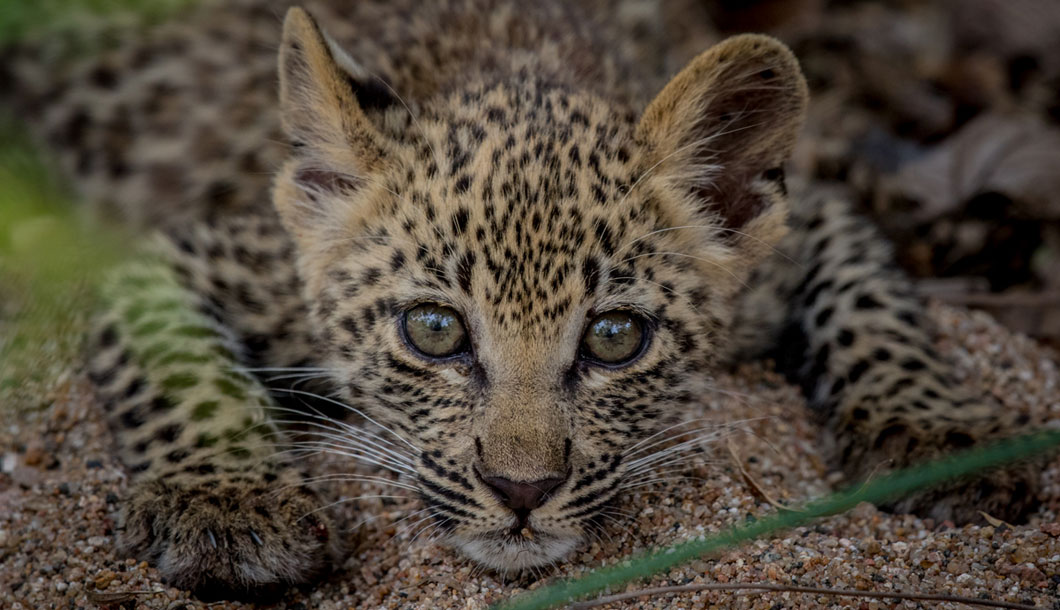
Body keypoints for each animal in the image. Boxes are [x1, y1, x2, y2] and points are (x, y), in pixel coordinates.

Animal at [1, 0, 1040, 601]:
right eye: (433, 330)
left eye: (616, 337)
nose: (522, 491)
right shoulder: (175, 255)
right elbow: (175, 375)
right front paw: (229, 505)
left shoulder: (807, 226)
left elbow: (877, 310)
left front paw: (942, 437)